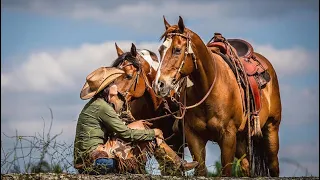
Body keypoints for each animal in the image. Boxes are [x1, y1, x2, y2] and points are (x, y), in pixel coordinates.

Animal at [154, 16, 282, 176]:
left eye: (177, 50)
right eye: (160, 50)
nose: (159, 84)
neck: (208, 89)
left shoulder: (228, 136)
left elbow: (226, 171)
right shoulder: (194, 136)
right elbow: (201, 171)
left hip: (271, 129)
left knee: (274, 166)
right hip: (241, 139)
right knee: (246, 166)